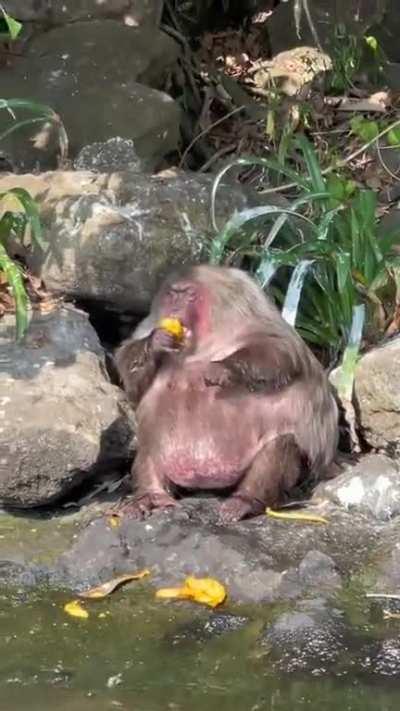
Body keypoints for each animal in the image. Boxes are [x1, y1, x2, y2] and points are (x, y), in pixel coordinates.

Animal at [115, 265, 338, 523]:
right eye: (173, 294)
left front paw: (224, 368)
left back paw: (246, 500)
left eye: (188, 295)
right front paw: (156, 342)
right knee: (151, 444)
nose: (175, 307)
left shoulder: (248, 309)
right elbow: (132, 378)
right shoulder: (150, 323)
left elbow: (280, 351)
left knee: (281, 445)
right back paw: (150, 496)